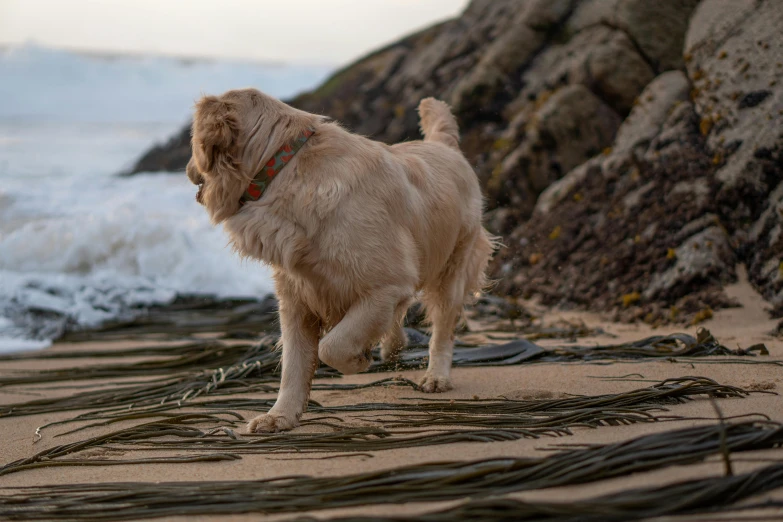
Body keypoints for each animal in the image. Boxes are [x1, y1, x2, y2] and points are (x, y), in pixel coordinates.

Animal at [187, 88, 496, 430]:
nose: (187, 171)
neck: (285, 167)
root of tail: (444, 146)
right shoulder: (297, 296)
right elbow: (294, 364)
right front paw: (279, 416)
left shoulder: (385, 285)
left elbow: (331, 347)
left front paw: (357, 360)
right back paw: (392, 345)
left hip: (453, 265)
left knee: (442, 326)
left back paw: (436, 376)